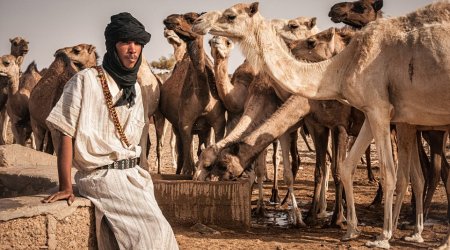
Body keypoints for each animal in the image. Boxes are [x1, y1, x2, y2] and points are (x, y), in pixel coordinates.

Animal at [162, 12, 227, 176]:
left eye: (191, 18)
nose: (168, 20)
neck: (203, 99)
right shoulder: (184, 122)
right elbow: (186, 147)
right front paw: (188, 171)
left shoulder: (218, 121)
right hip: (175, 124)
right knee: (181, 146)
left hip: (203, 128)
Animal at [192, 1, 450, 248]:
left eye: (231, 15)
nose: (199, 20)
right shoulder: (355, 116)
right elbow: (340, 167)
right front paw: (346, 227)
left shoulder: (367, 113)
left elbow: (378, 170)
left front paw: (376, 234)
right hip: (413, 124)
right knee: (418, 173)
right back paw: (416, 232)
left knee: (423, 171)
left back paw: (423, 234)